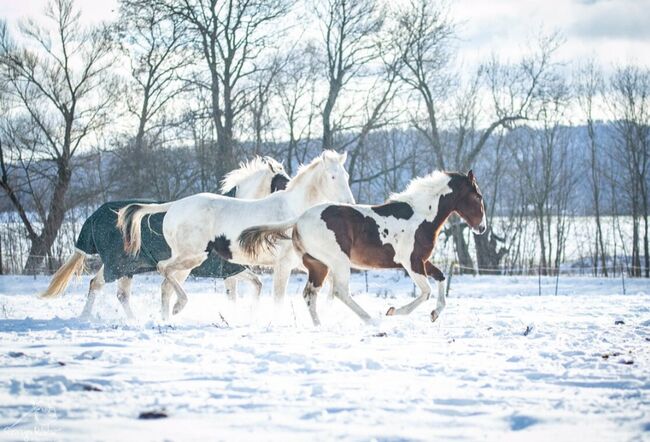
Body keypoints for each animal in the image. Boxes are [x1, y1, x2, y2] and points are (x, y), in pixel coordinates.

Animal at [41, 154, 290, 320]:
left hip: (124, 266)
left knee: (106, 288)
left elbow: (254, 286)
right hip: (121, 266)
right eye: (284, 183)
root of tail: (93, 216)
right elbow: (243, 291)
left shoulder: (232, 270)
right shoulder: (228, 270)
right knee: (111, 289)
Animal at [114, 150, 352, 320]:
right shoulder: (282, 265)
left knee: (164, 287)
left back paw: (167, 319)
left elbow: (331, 283)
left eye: (346, 176)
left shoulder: (303, 262)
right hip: (191, 257)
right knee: (162, 269)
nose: (349, 204)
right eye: (332, 176)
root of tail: (174, 206)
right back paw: (178, 307)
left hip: (186, 263)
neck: (293, 211)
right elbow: (277, 297)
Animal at [235, 171, 484, 326]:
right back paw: (372, 320)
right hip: (338, 262)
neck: (421, 216)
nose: (482, 228)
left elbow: (441, 277)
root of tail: (300, 219)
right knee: (339, 292)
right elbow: (425, 292)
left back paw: (319, 325)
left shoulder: (422, 261)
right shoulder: (411, 262)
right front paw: (393, 311)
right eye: (477, 197)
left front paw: (434, 314)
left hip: (318, 265)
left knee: (310, 294)